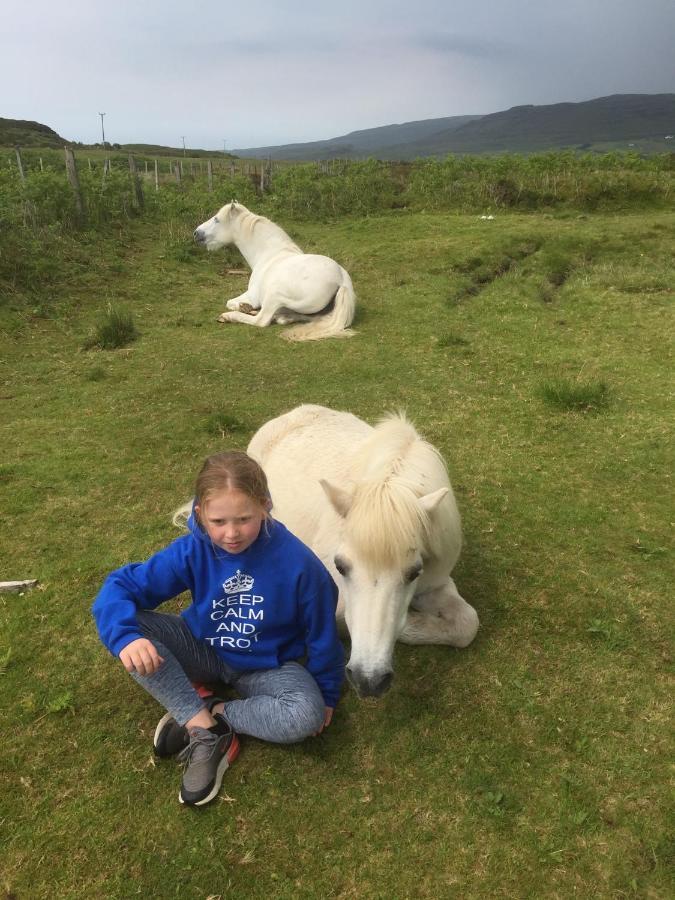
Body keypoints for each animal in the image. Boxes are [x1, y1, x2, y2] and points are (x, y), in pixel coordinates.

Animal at [193, 201, 356, 342]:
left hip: (274, 296)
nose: (196, 233)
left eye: (217, 220)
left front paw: (243, 308)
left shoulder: (253, 295)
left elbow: (230, 302)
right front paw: (246, 308)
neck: (269, 254)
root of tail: (342, 280)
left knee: (262, 320)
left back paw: (230, 316)